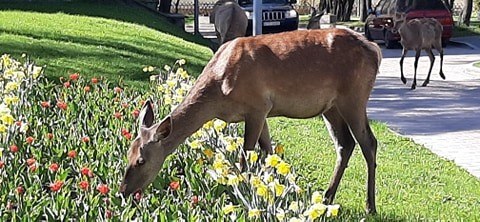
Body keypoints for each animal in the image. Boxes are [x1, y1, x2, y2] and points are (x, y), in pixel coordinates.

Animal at [120, 28, 382, 214]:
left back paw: (370, 206)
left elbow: (246, 159)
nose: (124, 192)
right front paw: (272, 191)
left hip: (354, 97)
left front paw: (241, 198)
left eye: (141, 161)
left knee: (369, 142)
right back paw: (327, 198)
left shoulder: (258, 106)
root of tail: (375, 50)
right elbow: (268, 152)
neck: (219, 91)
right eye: (127, 154)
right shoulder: (263, 113)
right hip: (331, 107)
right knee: (345, 144)